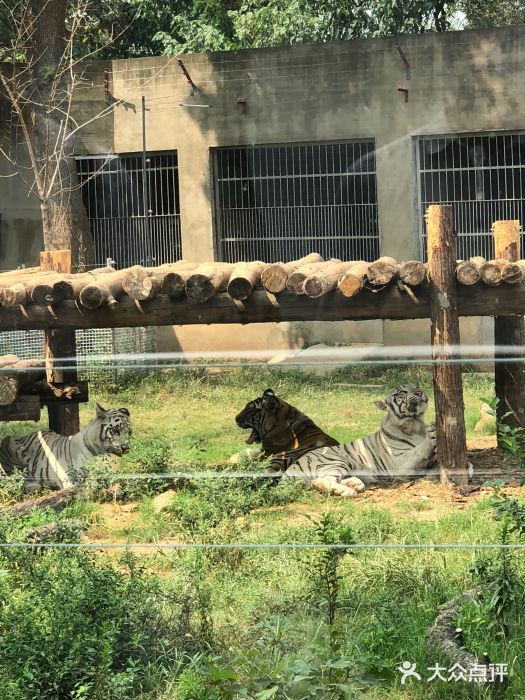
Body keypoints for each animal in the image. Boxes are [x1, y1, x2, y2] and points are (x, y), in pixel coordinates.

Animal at [282, 382, 442, 498]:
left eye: (417, 386)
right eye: (402, 393)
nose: (419, 392)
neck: (415, 424)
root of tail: (291, 468)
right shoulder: (401, 464)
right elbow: (418, 450)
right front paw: (433, 430)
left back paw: (355, 483)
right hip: (335, 460)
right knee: (320, 480)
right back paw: (347, 491)